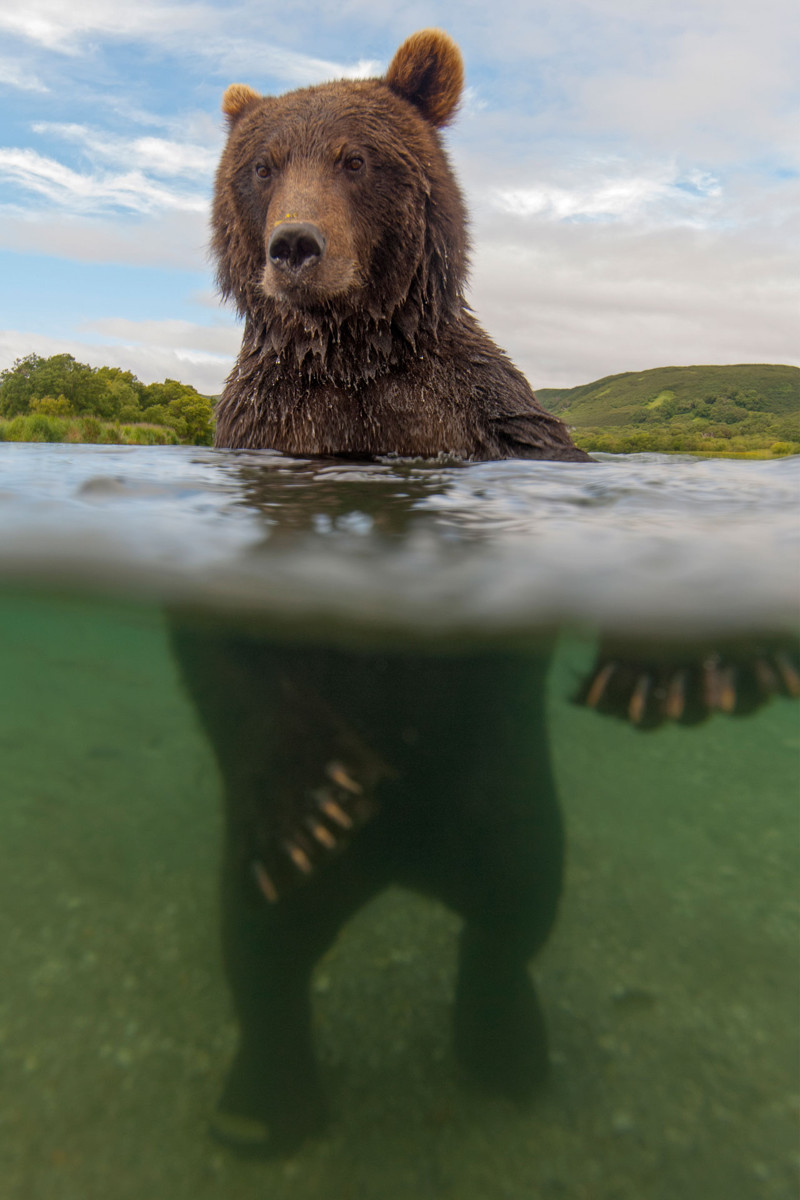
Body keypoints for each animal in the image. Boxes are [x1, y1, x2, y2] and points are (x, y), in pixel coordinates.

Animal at [209, 25, 592, 463]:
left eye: (354, 159)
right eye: (263, 167)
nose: (293, 244)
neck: (351, 358)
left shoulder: (481, 409)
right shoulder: (265, 415)